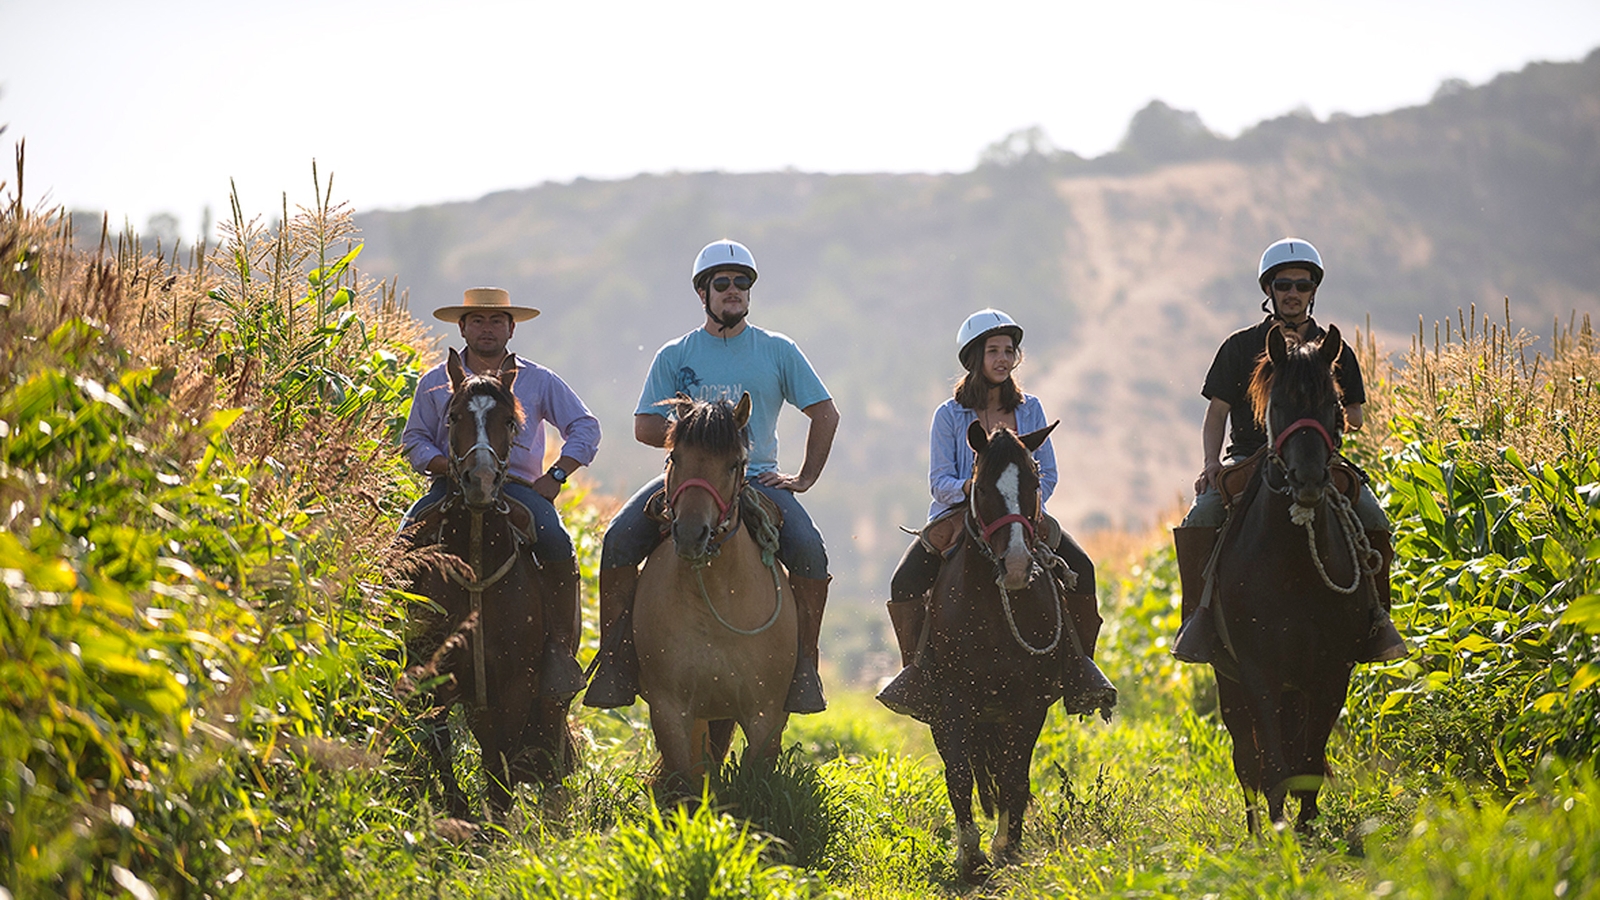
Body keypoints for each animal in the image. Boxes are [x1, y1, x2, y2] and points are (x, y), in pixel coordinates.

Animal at [632, 392, 797, 797]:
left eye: (734, 463)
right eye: (675, 457)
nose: (692, 534)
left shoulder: (765, 714)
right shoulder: (670, 709)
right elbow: (686, 782)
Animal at [922, 420, 1071, 881]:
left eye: (1034, 483)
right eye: (984, 487)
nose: (1018, 566)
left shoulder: (1028, 702)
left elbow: (1014, 776)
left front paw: (1007, 846)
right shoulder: (953, 699)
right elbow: (958, 775)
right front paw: (969, 855)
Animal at [1209, 323, 1381, 833]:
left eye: (1335, 403)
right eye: (1280, 404)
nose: (1307, 480)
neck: (1293, 568)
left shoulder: (1331, 671)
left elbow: (1307, 759)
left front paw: (1304, 827)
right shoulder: (1257, 672)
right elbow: (1272, 764)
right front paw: (1280, 831)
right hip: (1229, 679)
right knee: (1246, 757)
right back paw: (1254, 831)